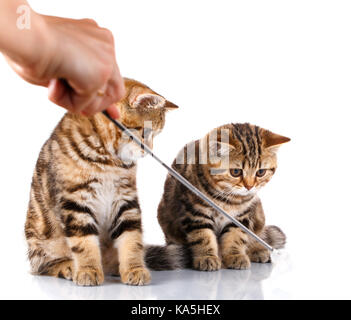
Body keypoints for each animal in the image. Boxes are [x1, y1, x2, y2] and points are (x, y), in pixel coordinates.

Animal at [25, 77, 179, 284]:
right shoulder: (76, 201)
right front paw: (88, 270)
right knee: (44, 265)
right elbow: (83, 242)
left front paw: (134, 268)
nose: (149, 151)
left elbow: (132, 239)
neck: (109, 159)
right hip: (41, 240)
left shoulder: (125, 199)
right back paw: (68, 266)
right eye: (146, 133)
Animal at [156, 124, 288, 272]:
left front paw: (235, 255)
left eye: (260, 172)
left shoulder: (241, 216)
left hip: (258, 213)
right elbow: (203, 236)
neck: (228, 198)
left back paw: (257, 250)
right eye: (235, 172)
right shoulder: (195, 213)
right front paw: (207, 257)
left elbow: (236, 235)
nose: (249, 186)